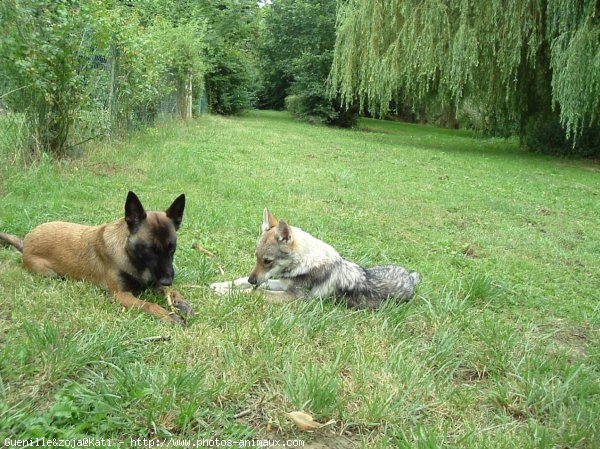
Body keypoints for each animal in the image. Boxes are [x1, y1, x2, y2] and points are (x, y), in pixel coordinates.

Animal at [0, 191, 192, 324]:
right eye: (149, 249)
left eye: (172, 248)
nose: (167, 280)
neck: (129, 255)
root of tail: (25, 241)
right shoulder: (121, 295)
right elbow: (149, 304)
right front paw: (170, 315)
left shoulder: (153, 282)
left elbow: (173, 292)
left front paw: (182, 302)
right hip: (50, 273)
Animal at [211, 209, 422, 308]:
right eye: (256, 257)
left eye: (267, 261)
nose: (251, 279)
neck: (304, 263)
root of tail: (411, 277)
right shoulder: (283, 284)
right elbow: (243, 283)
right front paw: (221, 285)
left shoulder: (296, 298)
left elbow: (257, 292)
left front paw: (226, 293)